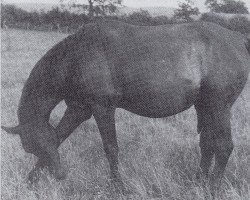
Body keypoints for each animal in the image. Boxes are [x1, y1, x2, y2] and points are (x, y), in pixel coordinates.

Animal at [1, 20, 250, 194]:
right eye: (33, 148)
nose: (61, 175)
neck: (77, 56)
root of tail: (239, 39)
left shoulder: (102, 108)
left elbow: (111, 148)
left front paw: (117, 186)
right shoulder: (79, 110)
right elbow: (61, 135)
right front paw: (30, 179)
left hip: (219, 107)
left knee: (223, 146)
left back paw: (212, 188)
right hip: (206, 107)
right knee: (207, 144)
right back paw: (198, 181)